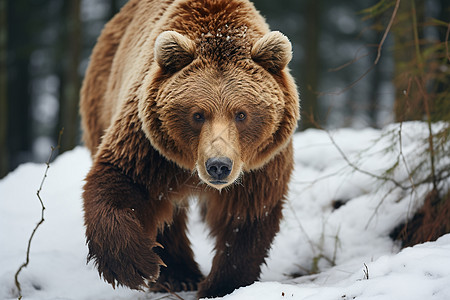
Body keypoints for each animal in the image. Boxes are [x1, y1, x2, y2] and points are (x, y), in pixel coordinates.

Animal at [80, 0, 298, 298]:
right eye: (197, 114)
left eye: (241, 114)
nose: (218, 165)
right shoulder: (150, 146)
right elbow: (122, 181)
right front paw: (136, 265)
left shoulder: (259, 165)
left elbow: (246, 215)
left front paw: (221, 285)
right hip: (102, 98)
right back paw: (177, 275)